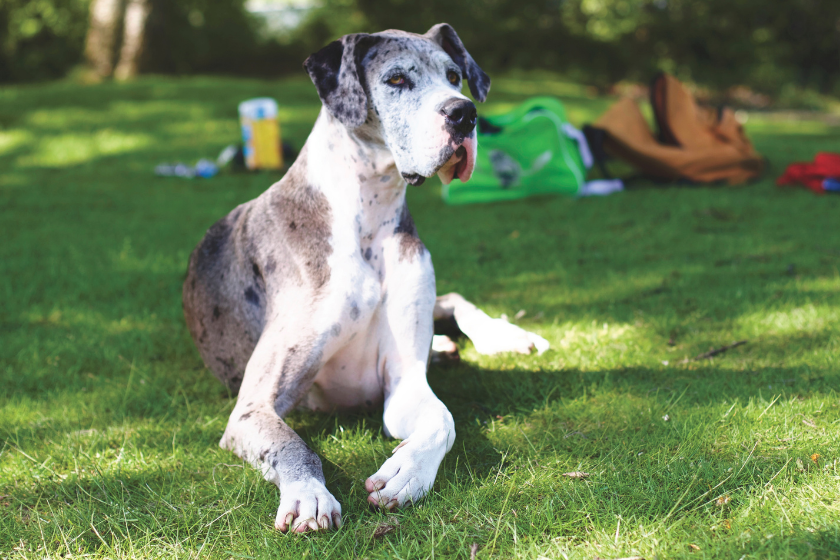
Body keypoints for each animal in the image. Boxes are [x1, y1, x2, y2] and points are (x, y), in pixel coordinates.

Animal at [184, 25, 548, 532]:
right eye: (396, 79)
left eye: (454, 76)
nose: (464, 112)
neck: (368, 216)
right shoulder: (253, 407)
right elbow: (292, 445)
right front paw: (308, 494)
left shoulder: (405, 383)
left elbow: (443, 420)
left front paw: (407, 472)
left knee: (454, 299)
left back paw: (501, 336)